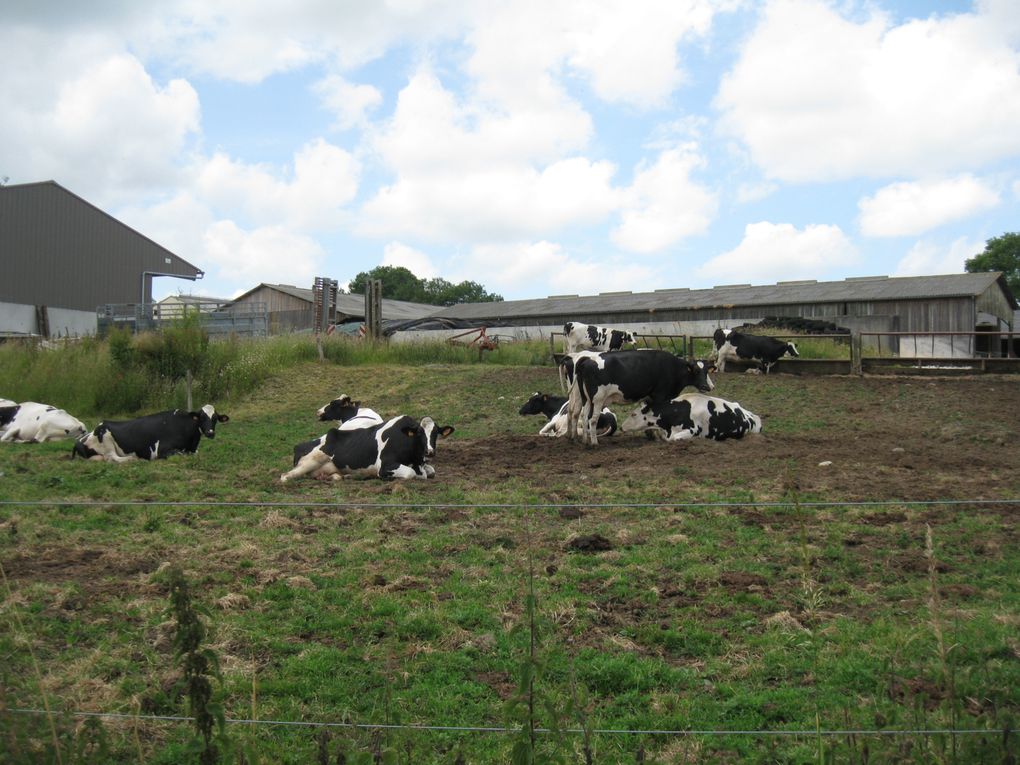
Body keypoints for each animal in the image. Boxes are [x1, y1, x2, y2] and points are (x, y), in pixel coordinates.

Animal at [72, 403, 230, 465]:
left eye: (215, 418)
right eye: (201, 417)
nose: (210, 432)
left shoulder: (193, 449)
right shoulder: (161, 450)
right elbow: (181, 454)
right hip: (105, 437)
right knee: (112, 457)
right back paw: (134, 458)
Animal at [281, 416, 452, 481]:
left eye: (436, 433)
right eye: (420, 433)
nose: (430, 452)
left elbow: (431, 472)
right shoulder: (385, 465)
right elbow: (410, 474)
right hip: (311, 461)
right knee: (285, 476)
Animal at [567, 350, 718, 446]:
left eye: (707, 371)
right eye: (697, 371)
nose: (709, 386)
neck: (673, 368)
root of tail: (586, 360)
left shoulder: (649, 398)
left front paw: (651, 435)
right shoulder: (660, 396)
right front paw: (659, 436)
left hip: (586, 399)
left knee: (582, 416)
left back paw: (583, 440)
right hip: (598, 400)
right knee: (592, 419)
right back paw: (594, 442)